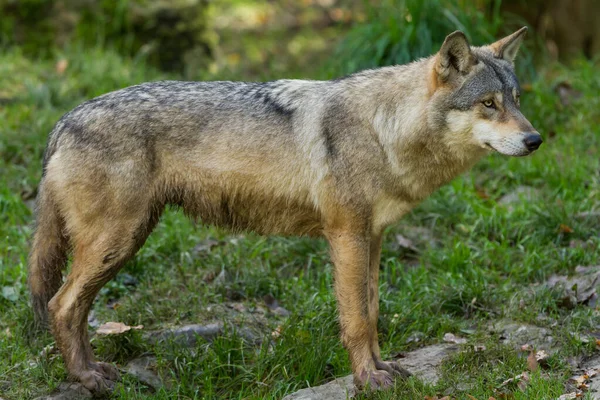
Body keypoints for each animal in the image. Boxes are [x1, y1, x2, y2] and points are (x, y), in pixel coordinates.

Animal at [28, 27, 540, 394]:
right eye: (488, 104)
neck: (385, 130)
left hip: (123, 243)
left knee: (71, 308)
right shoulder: (346, 236)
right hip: (119, 242)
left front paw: (383, 368)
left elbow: (372, 312)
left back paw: (95, 372)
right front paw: (367, 380)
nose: (535, 140)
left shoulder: (372, 237)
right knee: (60, 305)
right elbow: (356, 320)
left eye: (517, 101)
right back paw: (86, 379)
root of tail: (63, 121)